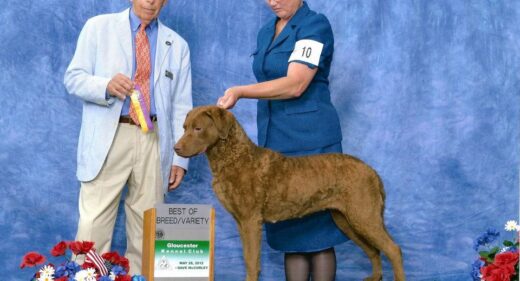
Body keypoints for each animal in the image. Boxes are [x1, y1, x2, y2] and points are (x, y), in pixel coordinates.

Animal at [173, 105, 404, 280]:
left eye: (198, 128)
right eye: (184, 127)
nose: (176, 148)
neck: (234, 157)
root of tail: (371, 171)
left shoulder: (251, 220)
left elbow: (251, 261)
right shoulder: (241, 221)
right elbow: (249, 258)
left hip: (363, 215)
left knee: (393, 250)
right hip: (346, 219)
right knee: (374, 250)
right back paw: (375, 277)